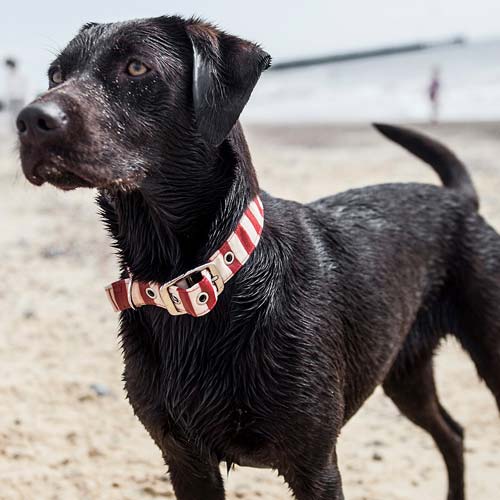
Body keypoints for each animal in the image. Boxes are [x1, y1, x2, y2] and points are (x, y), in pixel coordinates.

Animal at [16, 15, 500, 500]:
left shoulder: (314, 465)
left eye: (136, 68)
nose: (29, 120)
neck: (196, 281)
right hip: (404, 372)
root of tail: (459, 199)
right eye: (55, 75)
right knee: (453, 433)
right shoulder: (185, 459)